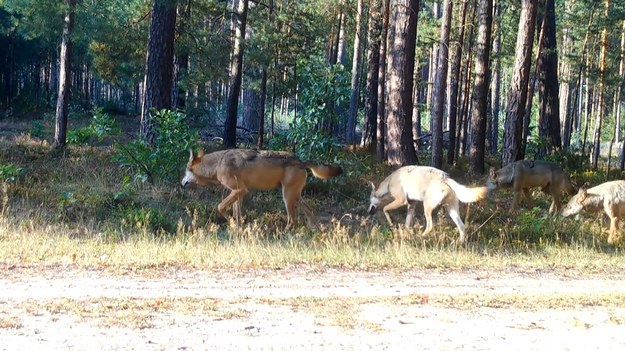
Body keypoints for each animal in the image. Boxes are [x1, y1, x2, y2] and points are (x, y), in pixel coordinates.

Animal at [178, 149, 344, 230]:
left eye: (185, 170)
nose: (181, 183)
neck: (217, 164)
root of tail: (301, 161)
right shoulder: (239, 193)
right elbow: (237, 214)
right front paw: (238, 228)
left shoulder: (240, 191)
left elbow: (220, 207)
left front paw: (232, 224)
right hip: (295, 197)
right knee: (309, 210)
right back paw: (315, 230)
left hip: (287, 197)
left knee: (293, 219)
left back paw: (284, 234)